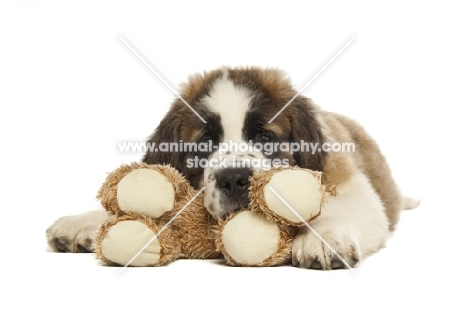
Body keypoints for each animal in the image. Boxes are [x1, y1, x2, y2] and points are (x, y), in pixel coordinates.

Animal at [46, 67, 416, 268]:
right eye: (205, 142)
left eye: (264, 136)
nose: (235, 179)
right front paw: (83, 223)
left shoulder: (350, 184)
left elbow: (341, 209)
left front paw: (323, 240)